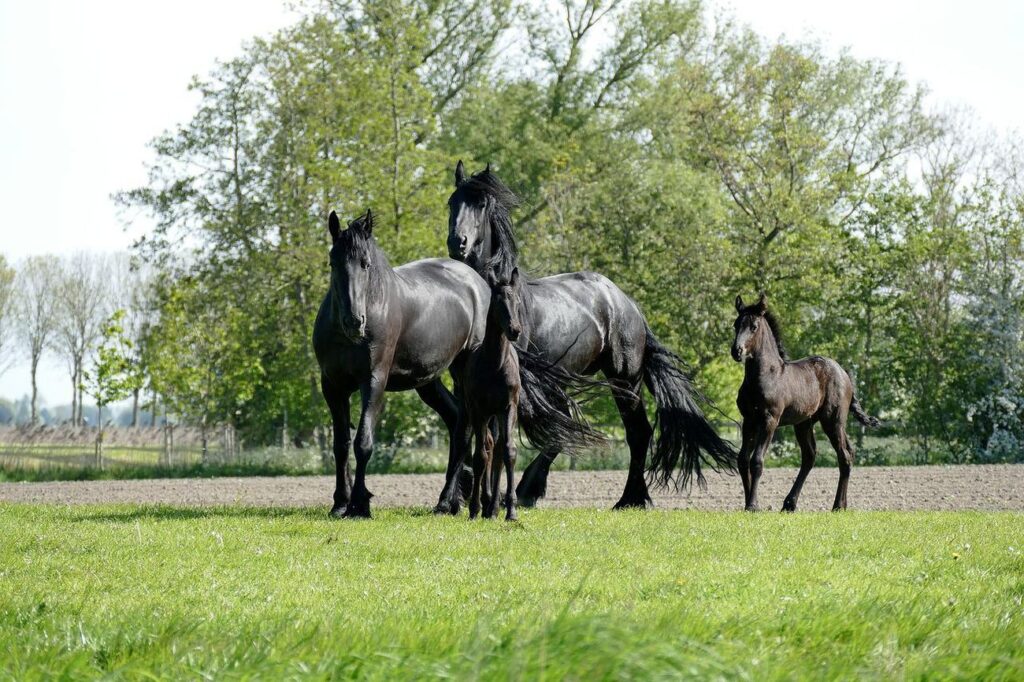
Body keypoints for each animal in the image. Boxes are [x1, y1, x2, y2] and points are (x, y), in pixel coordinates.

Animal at [446, 163, 737, 503]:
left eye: (481, 204)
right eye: (452, 202)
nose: (457, 242)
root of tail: (628, 304)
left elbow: (499, 435)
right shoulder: (467, 385)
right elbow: (463, 435)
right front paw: (452, 498)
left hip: (624, 378)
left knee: (636, 433)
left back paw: (627, 499)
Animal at [729, 292, 880, 509]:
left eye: (754, 326)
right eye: (735, 324)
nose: (737, 351)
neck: (765, 375)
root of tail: (844, 373)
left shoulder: (769, 420)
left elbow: (756, 461)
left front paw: (752, 505)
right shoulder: (749, 420)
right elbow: (742, 460)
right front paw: (750, 503)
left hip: (833, 420)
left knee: (844, 455)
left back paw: (837, 506)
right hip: (804, 423)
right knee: (811, 456)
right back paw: (790, 504)